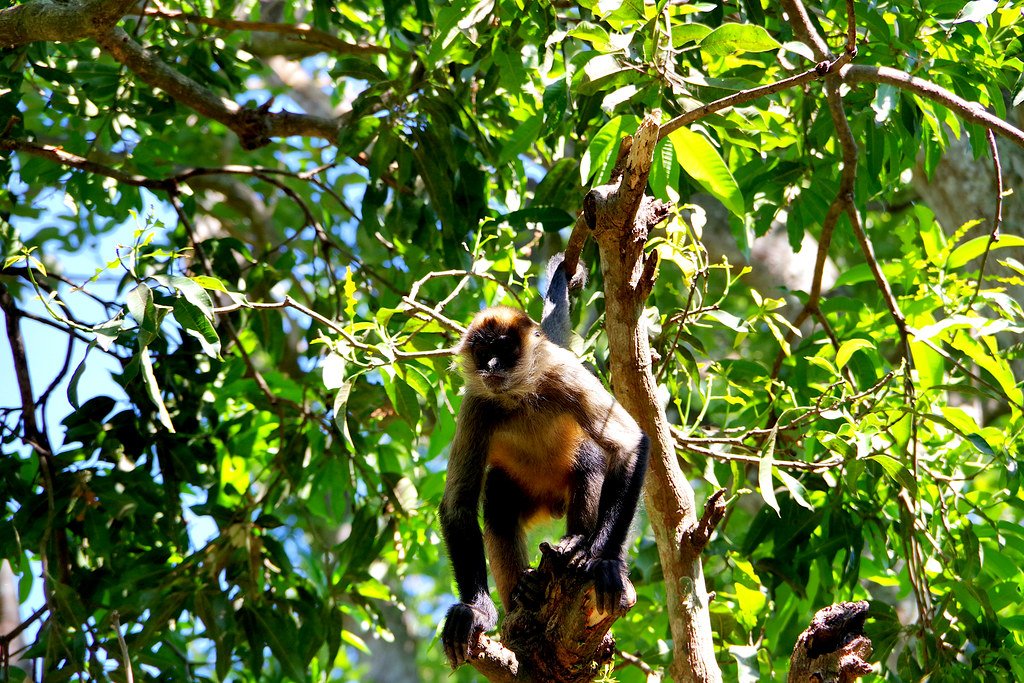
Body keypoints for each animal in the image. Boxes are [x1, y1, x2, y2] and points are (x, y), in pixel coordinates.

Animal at [438, 254, 650, 668]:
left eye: (504, 351)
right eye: (483, 352)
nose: (491, 365)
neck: (520, 396)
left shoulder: (561, 371)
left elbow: (630, 445)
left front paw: (606, 561)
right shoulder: (477, 403)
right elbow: (457, 506)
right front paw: (479, 611)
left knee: (590, 462)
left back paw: (578, 543)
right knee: (498, 502)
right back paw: (525, 594)